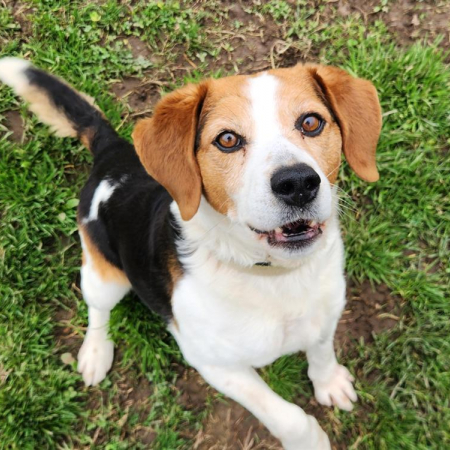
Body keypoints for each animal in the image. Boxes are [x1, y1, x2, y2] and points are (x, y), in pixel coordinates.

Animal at [0, 57, 381, 449]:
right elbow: (286, 416)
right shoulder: (215, 365)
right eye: (227, 139)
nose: (298, 183)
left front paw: (329, 382)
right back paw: (95, 352)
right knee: (98, 310)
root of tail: (112, 152)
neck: (271, 274)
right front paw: (310, 440)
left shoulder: (326, 316)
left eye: (311, 122)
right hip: (104, 277)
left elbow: (321, 351)